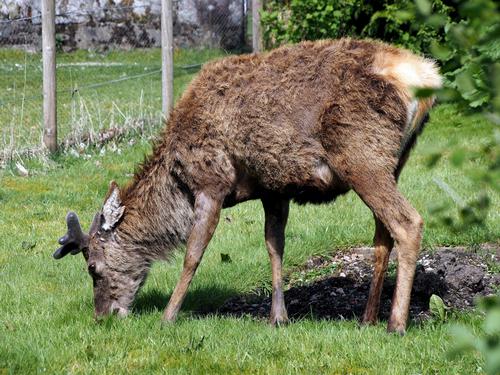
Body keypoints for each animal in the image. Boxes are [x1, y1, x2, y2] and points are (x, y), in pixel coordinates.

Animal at [51, 38, 442, 334]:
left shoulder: (212, 182)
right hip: (393, 163)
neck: (177, 179)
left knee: (408, 222)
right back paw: (367, 318)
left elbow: (193, 254)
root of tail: (426, 79)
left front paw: (168, 316)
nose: (103, 316)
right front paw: (278, 318)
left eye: (93, 268)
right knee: (382, 235)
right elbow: (274, 246)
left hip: (361, 155)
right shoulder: (274, 189)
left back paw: (396, 324)